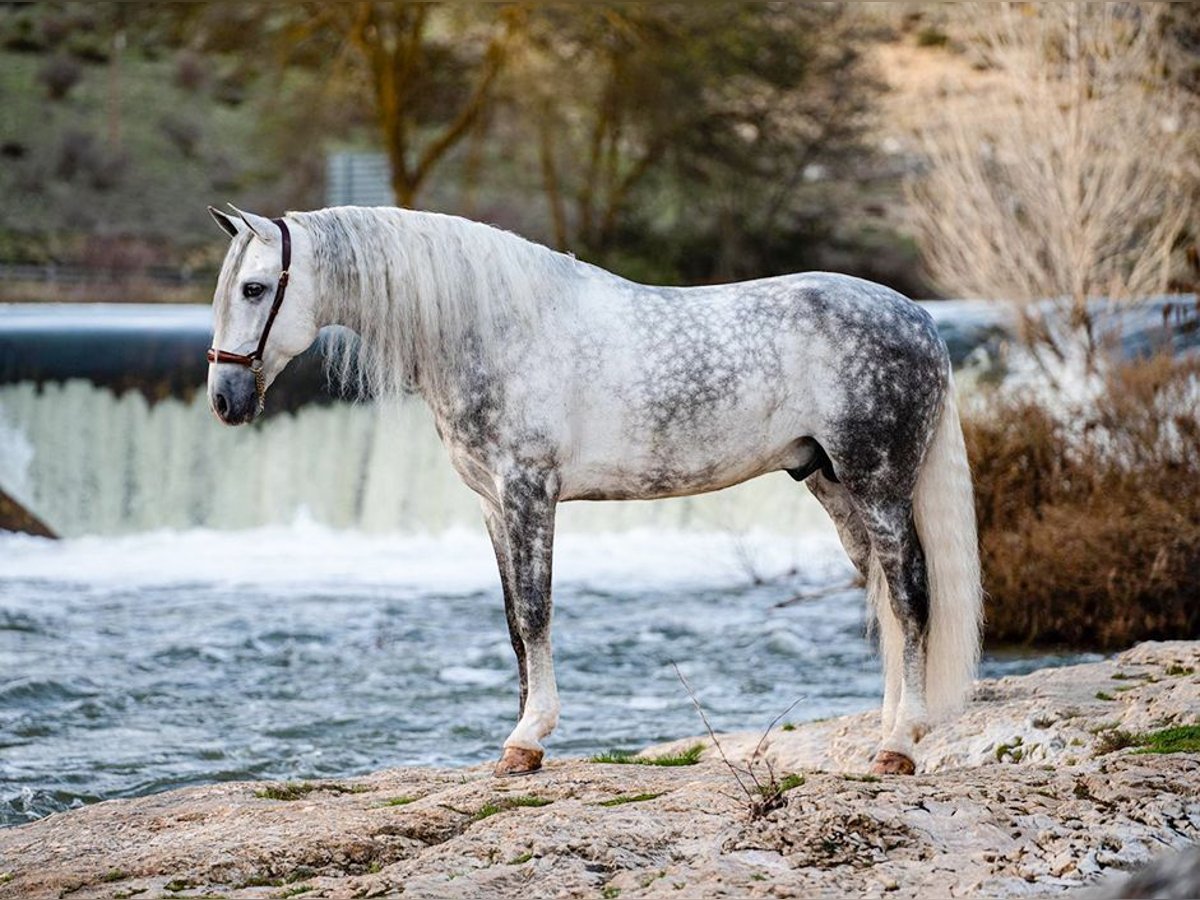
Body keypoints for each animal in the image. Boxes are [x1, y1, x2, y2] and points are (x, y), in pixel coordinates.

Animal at [204, 203, 983, 777]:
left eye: (254, 288)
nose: (224, 401)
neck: (496, 327)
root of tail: (921, 319)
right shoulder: (493, 504)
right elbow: (513, 622)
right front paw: (518, 744)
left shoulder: (529, 492)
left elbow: (536, 613)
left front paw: (528, 738)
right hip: (831, 483)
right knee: (882, 597)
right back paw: (886, 733)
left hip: (878, 482)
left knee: (909, 595)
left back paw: (900, 745)